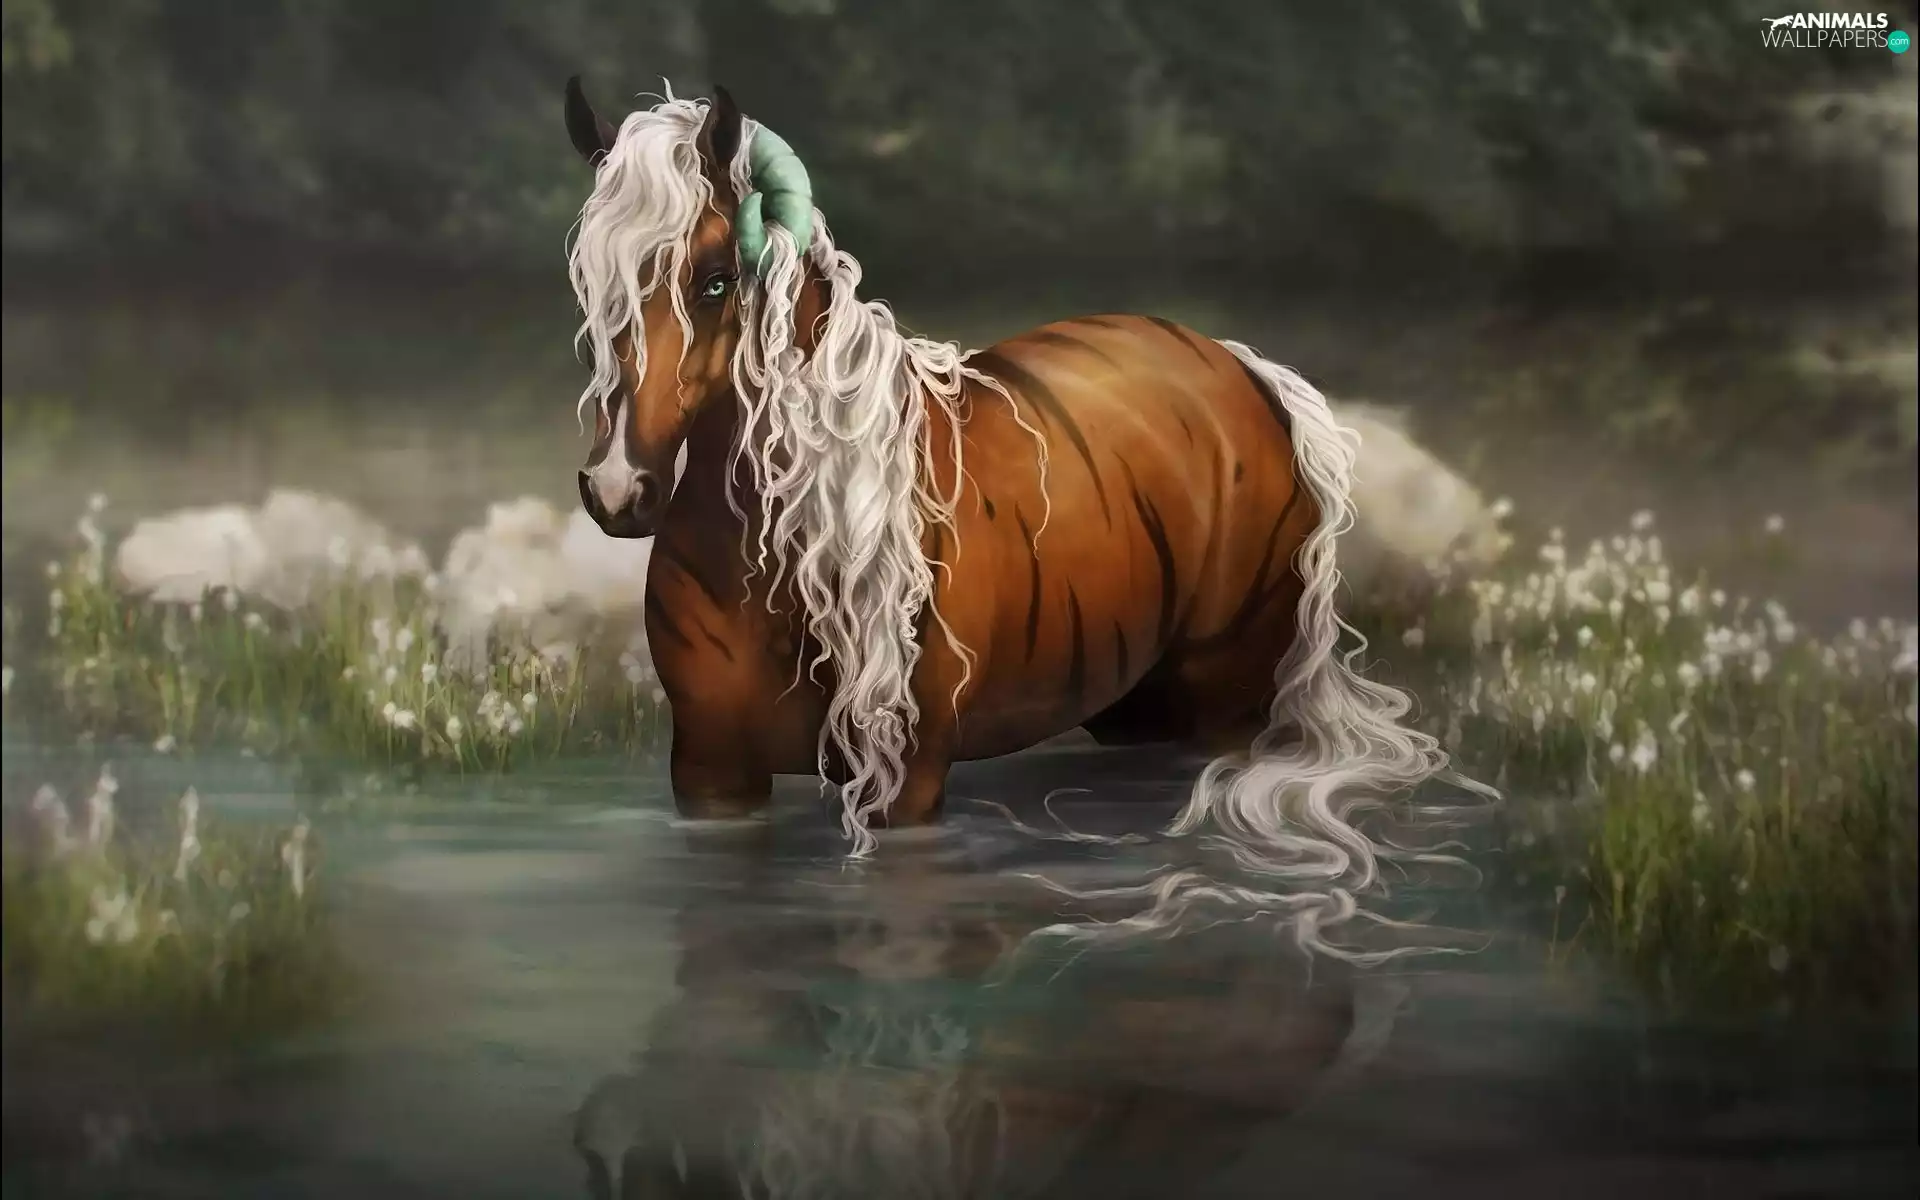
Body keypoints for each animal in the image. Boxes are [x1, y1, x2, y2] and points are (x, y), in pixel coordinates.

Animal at [564, 79, 1490, 952]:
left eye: (715, 280)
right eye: (593, 289)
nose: (616, 489)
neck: (785, 560)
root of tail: (1245, 368)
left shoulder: (906, 778)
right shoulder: (711, 774)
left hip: (1233, 705)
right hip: (1134, 708)